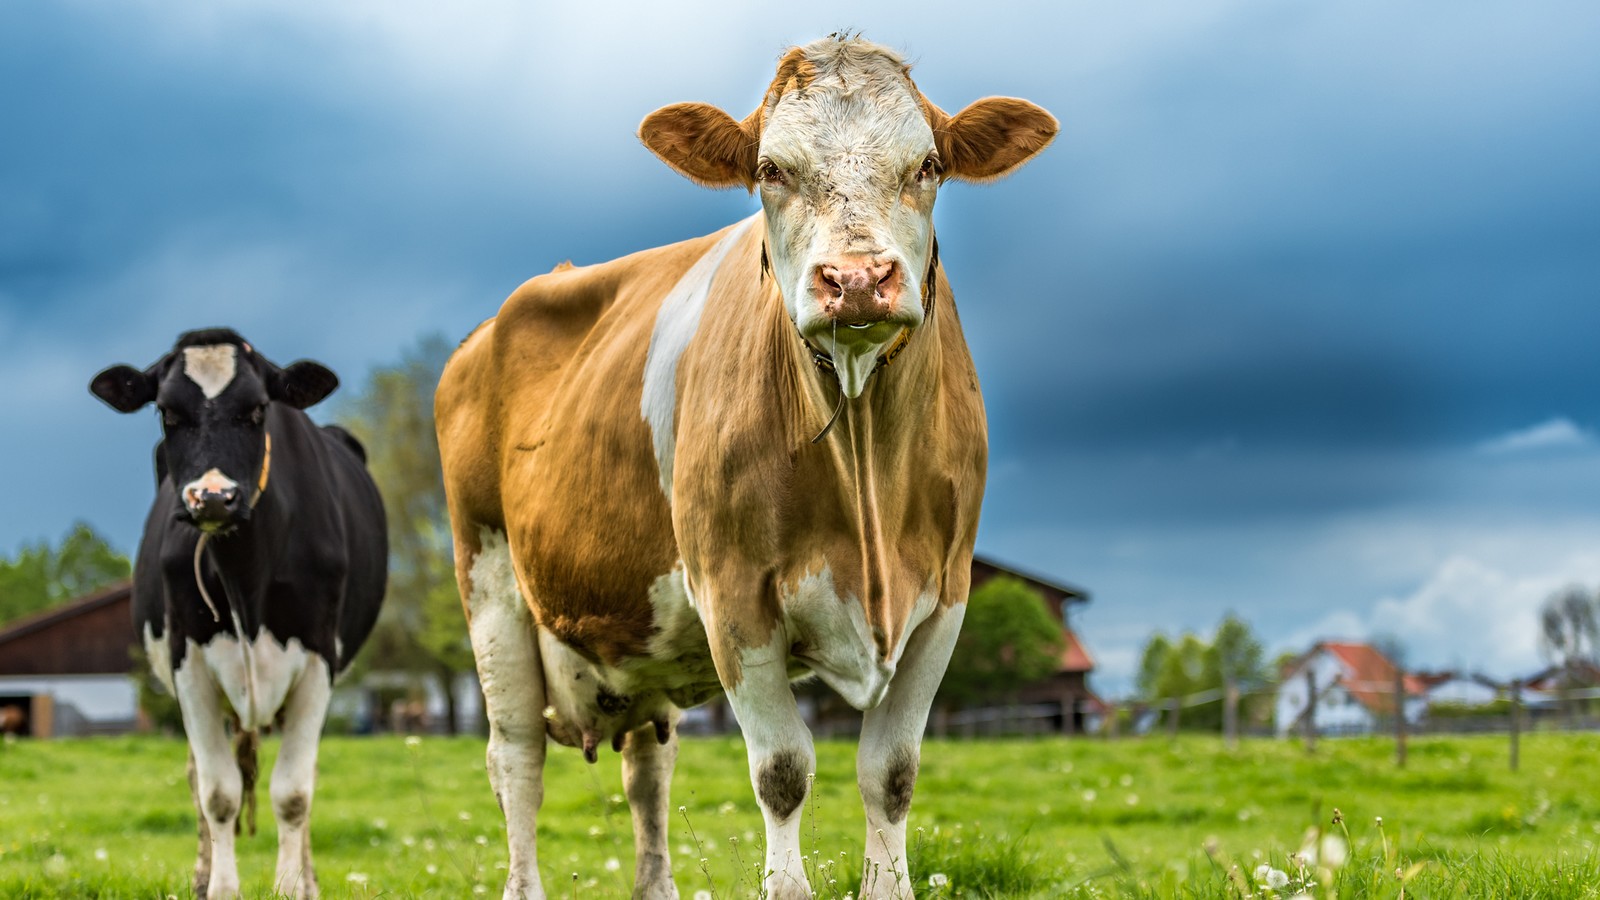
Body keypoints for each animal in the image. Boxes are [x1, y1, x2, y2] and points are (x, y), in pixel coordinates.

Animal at [90, 328, 386, 900]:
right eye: (167, 412)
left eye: (257, 410)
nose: (212, 498)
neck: (245, 577)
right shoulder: (188, 663)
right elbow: (218, 792)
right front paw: (221, 888)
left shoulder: (318, 659)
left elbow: (294, 793)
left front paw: (293, 887)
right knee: (198, 779)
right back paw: (202, 874)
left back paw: (309, 879)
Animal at [435, 35, 1056, 900]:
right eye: (771, 170)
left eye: (928, 164)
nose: (856, 280)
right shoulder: (733, 593)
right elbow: (784, 772)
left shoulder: (944, 595)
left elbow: (892, 773)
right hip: (490, 583)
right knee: (516, 762)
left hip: (639, 640)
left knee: (648, 770)